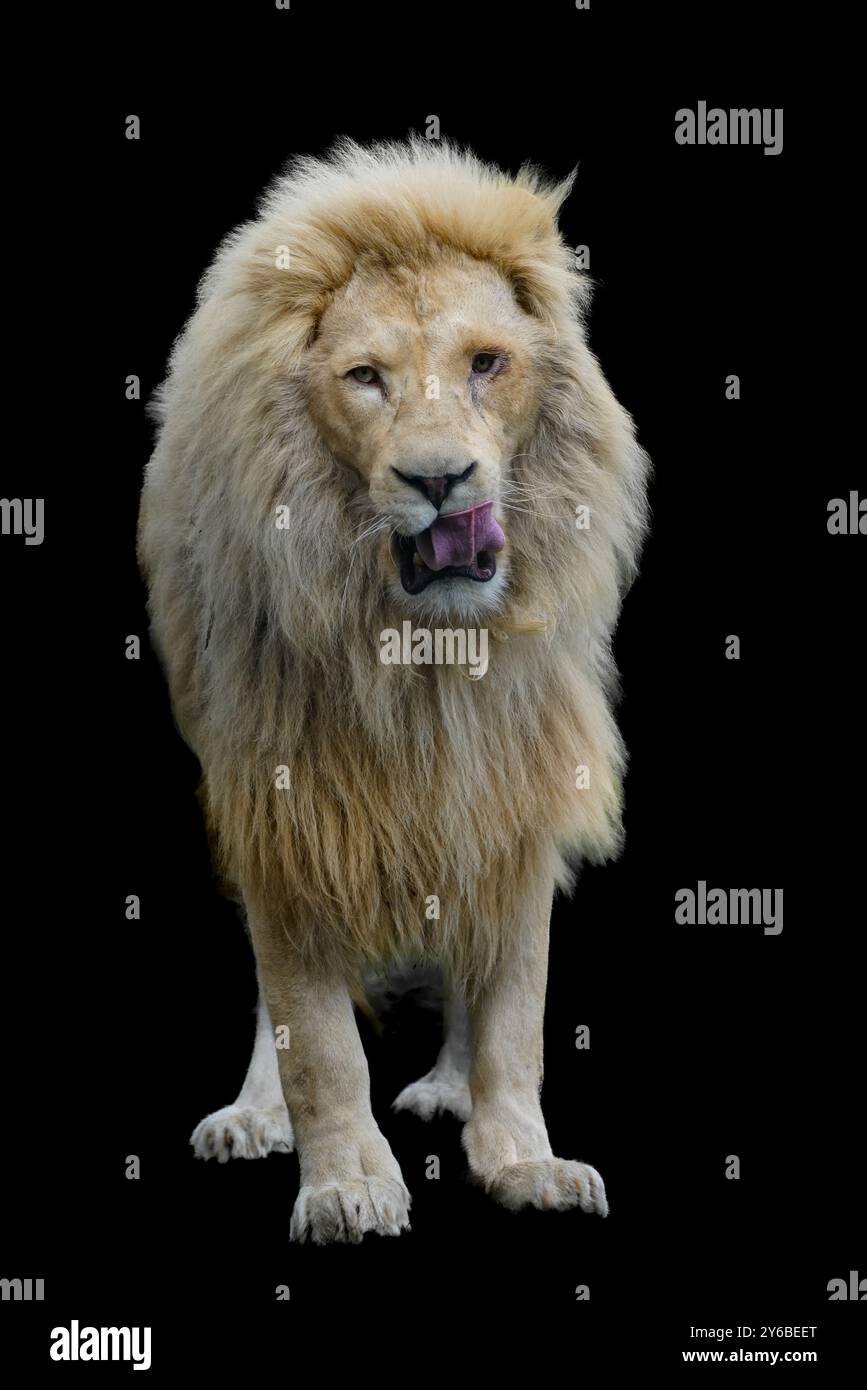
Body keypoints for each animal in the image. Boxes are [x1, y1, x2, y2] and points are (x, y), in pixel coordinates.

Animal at [138, 138, 650, 1244]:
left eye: (486, 363)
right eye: (365, 379)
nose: (439, 478)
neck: (424, 659)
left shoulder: (515, 781)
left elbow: (514, 1005)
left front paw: (521, 1159)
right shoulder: (286, 802)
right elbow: (315, 1035)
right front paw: (344, 1183)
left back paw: (447, 1089)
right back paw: (255, 1114)